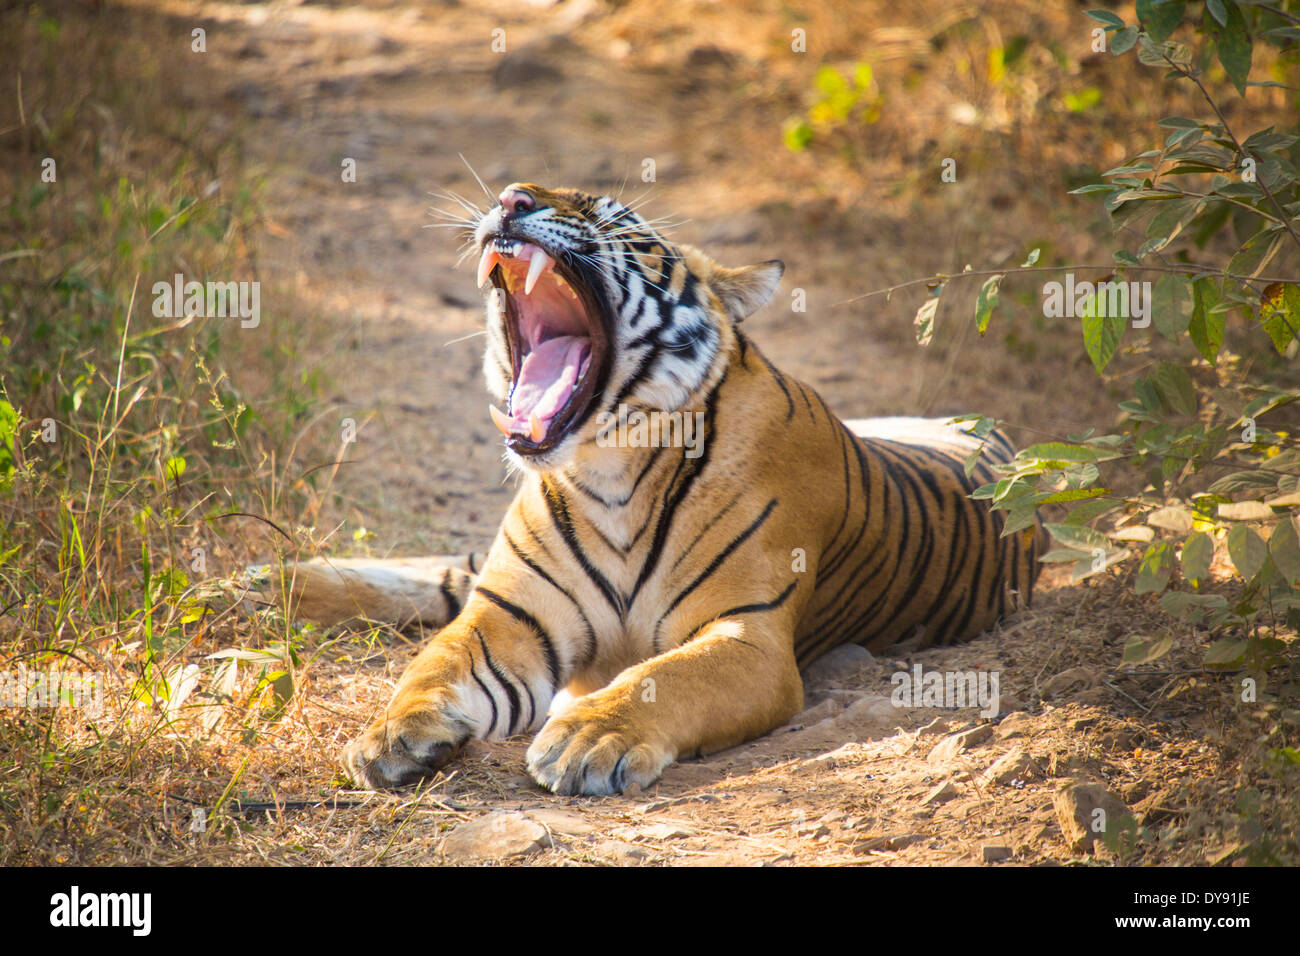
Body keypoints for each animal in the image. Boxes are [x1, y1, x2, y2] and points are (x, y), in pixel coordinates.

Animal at [276, 183, 1045, 796]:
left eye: (614, 218)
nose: (512, 198)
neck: (610, 470)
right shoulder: (509, 614)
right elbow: (431, 667)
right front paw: (389, 735)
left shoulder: (748, 634)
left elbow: (669, 678)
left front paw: (588, 737)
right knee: (446, 573)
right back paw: (276, 580)